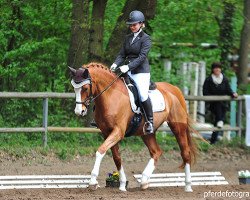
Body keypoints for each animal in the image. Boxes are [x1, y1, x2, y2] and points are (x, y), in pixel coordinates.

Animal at [68, 62, 197, 192]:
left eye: (85, 88)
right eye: (74, 88)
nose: (79, 112)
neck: (111, 95)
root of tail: (175, 89)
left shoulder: (118, 132)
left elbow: (100, 151)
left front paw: (93, 181)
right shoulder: (107, 132)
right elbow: (117, 157)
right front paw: (122, 185)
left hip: (178, 127)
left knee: (185, 153)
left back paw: (188, 186)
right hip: (146, 133)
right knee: (156, 152)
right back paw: (144, 180)